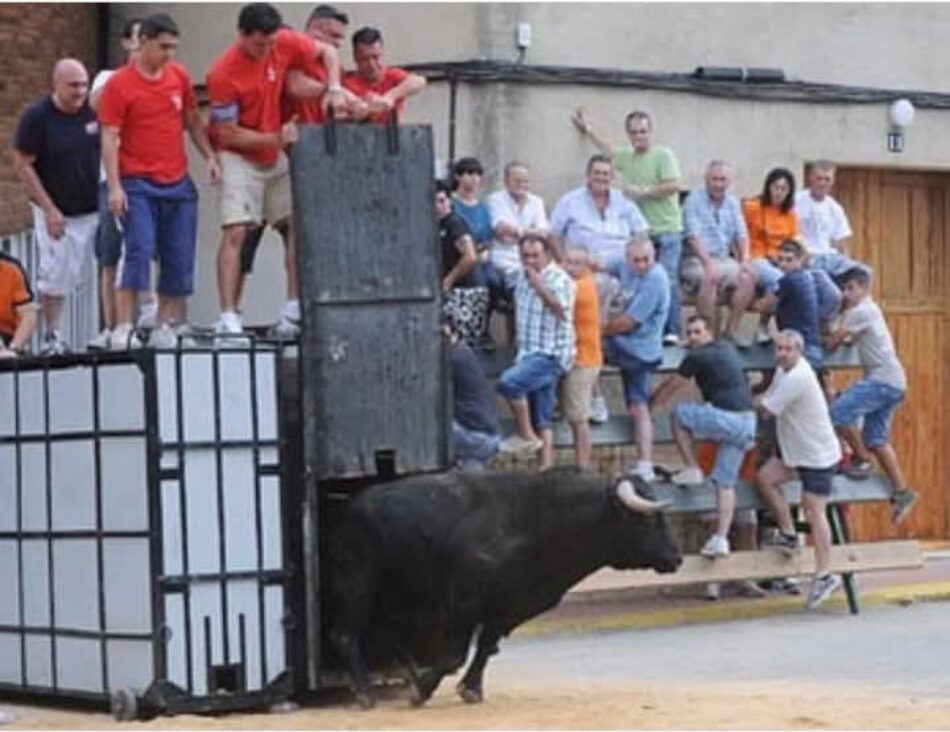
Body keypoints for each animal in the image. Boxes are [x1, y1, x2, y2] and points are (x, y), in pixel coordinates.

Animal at [328, 466, 684, 708]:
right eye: (647, 520)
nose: (676, 558)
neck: (539, 523)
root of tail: (353, 504)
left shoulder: (508, 608)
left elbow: (486, 648)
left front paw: (470, 689)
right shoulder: (462, 604)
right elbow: (454, 656)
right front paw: (423, 690)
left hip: (398, 594)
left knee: (388, 632)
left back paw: (408, 674)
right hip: (358, 584)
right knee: (347, 634)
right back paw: (366, 693)